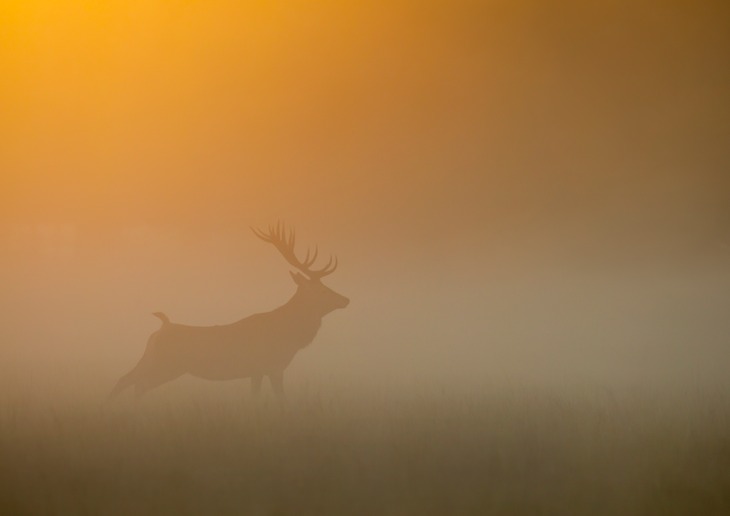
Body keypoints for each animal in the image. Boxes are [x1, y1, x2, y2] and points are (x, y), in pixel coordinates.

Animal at [106, 224, 348, 402]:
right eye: (322, 290)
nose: (345, 299)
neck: (290, 337)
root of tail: (162, 326)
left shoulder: (256, 370)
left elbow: (255, 398)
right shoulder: (273, 365)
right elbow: (281, 400)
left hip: (151, 359)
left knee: (126, 380)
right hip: (166, 364)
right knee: (137, 384)